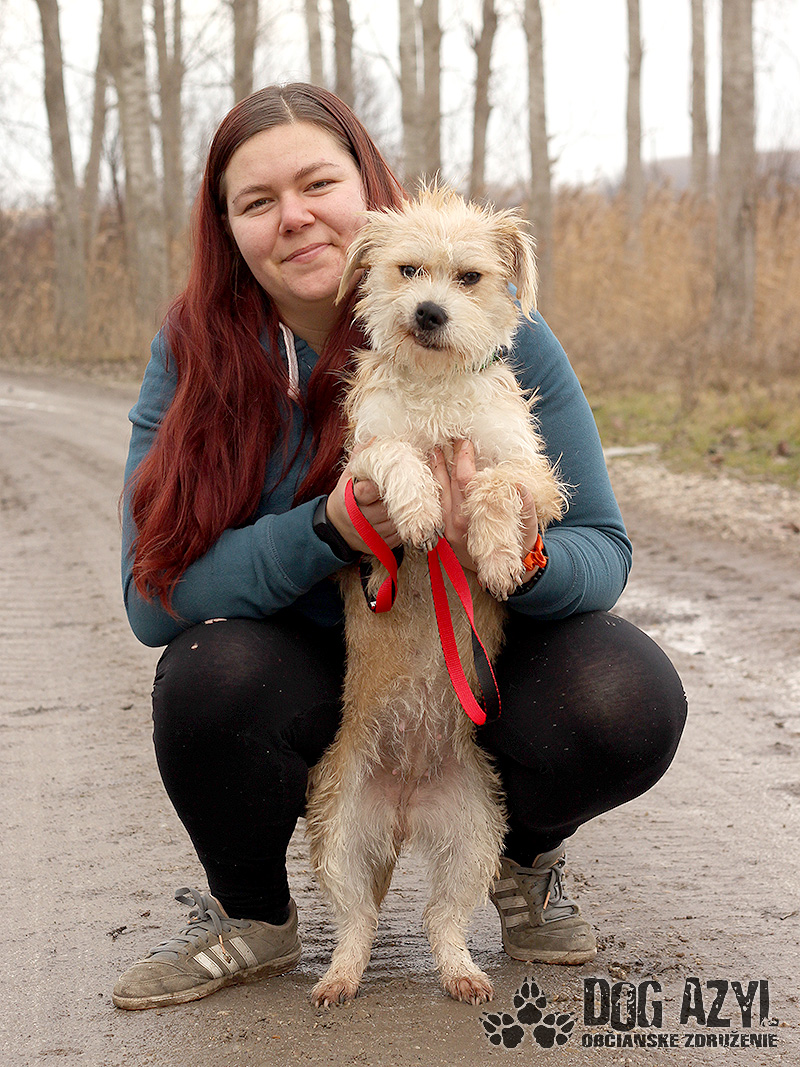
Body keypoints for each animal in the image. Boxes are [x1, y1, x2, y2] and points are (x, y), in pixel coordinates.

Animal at [305, 186, 567, 1007]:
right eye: (410, 270)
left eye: (470, 278)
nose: (427, 312)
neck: (435, 386)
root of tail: (405, 807)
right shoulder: (358, 471)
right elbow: (395, 455)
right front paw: (421, 507)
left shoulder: (528, 469)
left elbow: (496, 484)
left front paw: (494, 550)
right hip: (338, 829)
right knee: (359, 921)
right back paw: (339, 977)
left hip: (474, 835)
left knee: (441, 919)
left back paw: (462, 974)